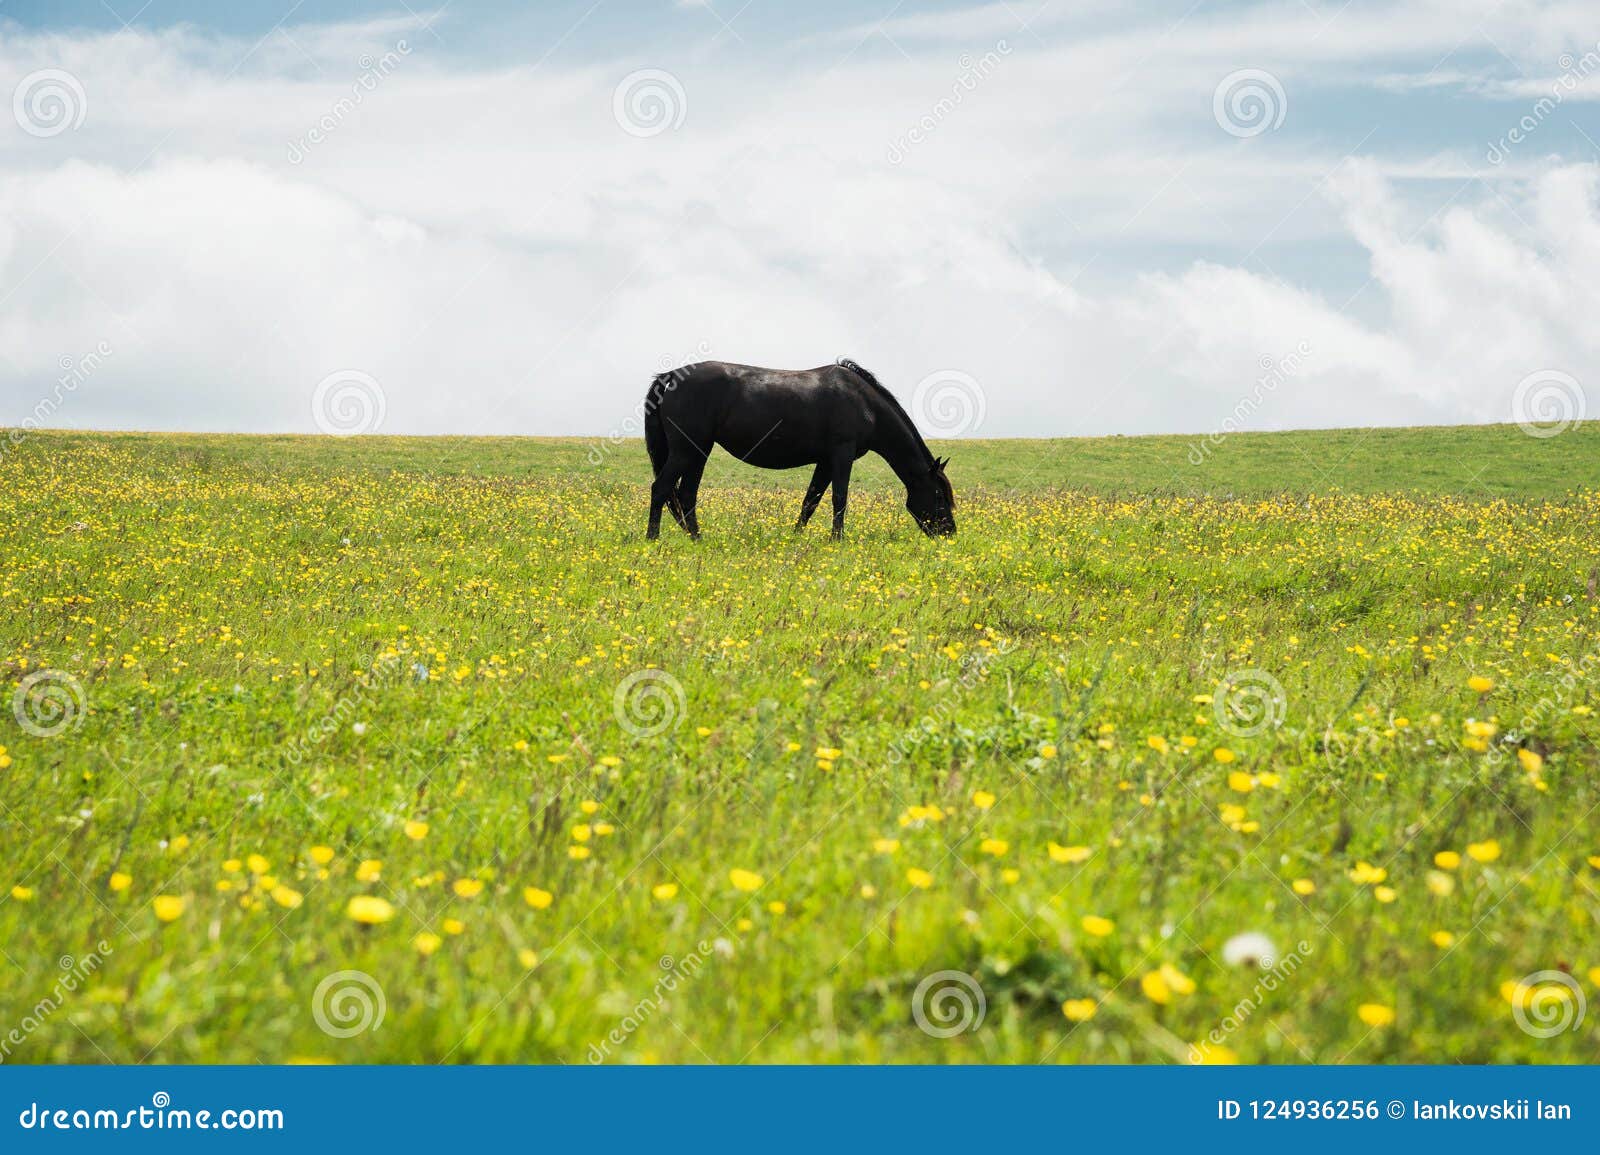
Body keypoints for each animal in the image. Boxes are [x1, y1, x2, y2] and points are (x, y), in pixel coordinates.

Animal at [643, 358, 953, 537]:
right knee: (661, 488)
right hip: (685, 450)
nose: (949, 532)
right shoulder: (842, 455)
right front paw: (837, 540)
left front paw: (796, 537)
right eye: (939, 496)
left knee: (686, 495)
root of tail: (671, 376)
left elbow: (810, 501)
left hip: (699, 451)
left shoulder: (825, 461)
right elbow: (839, 499)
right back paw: (653, 539)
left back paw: (697, 538)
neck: (865, 403)